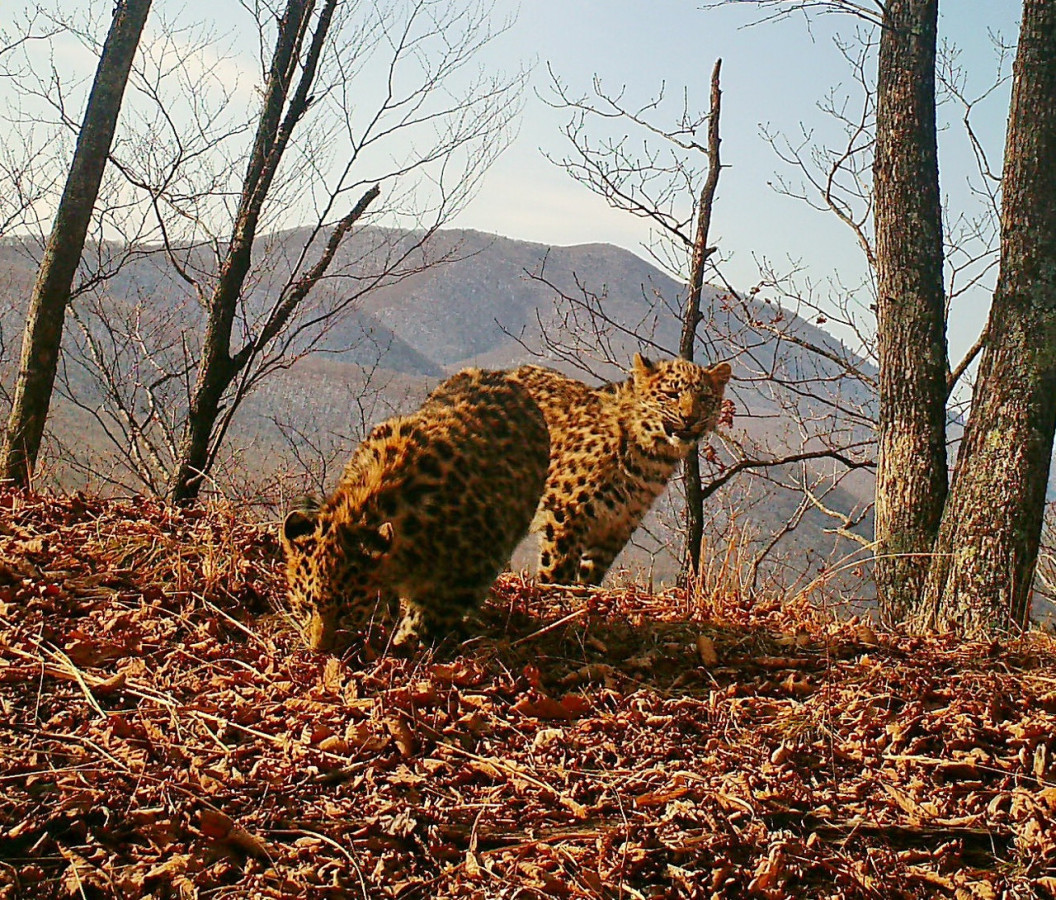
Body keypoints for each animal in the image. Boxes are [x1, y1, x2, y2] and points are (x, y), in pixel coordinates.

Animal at [280, 369, 549, 650]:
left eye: (346, 609)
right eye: (305, 607)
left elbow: (432, 613)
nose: (319, 649)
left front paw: (409, 639)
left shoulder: (467, 573)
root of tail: (497, 374)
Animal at [506, 354, 730, 587]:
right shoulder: (566, 512)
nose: (690, 419)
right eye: (671, 394)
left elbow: (590, 574)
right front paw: (553, 586)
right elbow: (558, 566)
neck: (650, 458)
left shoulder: (617, 526)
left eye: (704, 398)